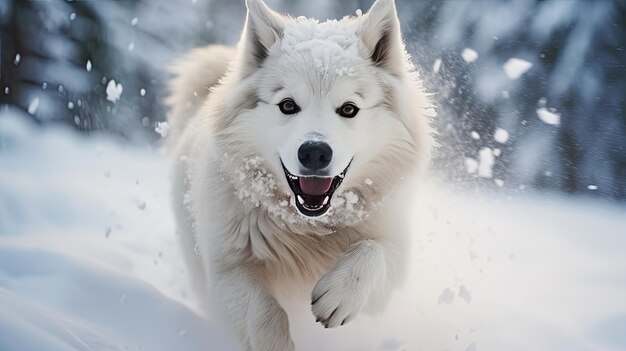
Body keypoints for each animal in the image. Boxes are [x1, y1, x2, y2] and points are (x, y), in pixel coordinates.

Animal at [165, 0, 428, 350]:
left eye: (349, 109)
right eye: (288, 105)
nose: (315, 152)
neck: (307, 229)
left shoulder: (393, 258)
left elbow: (372, 252)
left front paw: (339, 294)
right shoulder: (225, 272)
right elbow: (266, 315)